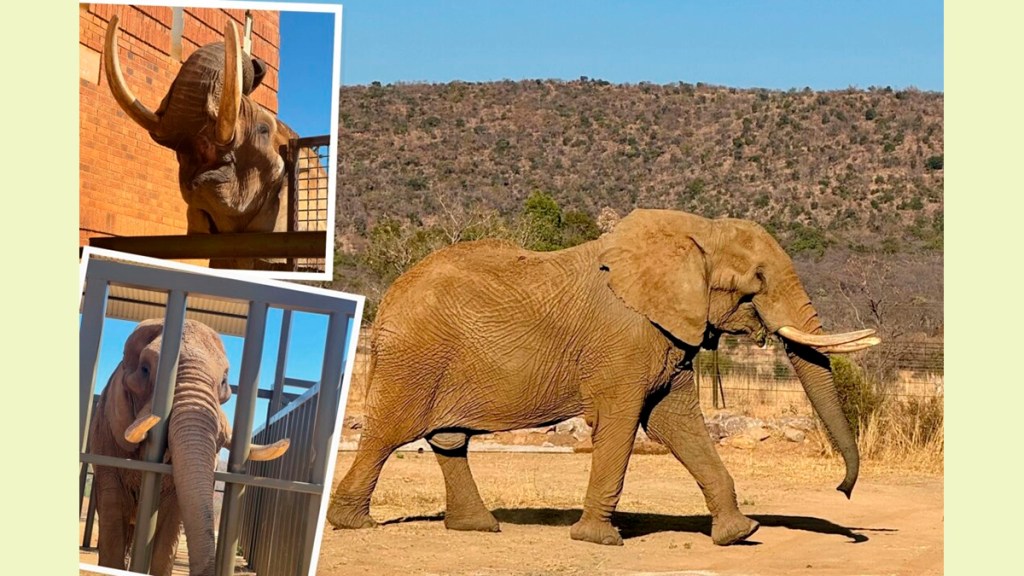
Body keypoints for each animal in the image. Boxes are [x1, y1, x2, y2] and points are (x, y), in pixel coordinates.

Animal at [326, 208, 880, 547]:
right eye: (758, 280)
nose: (843, 491)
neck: (694, 232)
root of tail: (390, 294)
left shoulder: (666, 337)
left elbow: (678, 424)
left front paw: (739, 534)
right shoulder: (625, 340)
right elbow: (621, 422)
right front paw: (600, 539)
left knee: (448, 439)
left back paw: (480, 527)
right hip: (414, 356)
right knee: (388, 433)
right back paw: (352, 523)